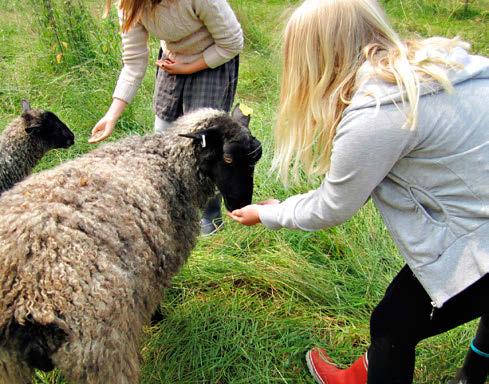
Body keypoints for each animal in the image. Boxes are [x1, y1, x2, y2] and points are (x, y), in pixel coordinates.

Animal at [0, 106, 260, 384]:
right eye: (228, 159)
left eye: (255, 158)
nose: (241, 205)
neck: (166, 163)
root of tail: (25, 298)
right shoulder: (161, 262)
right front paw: (158, 319)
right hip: (103, 350)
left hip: (9, 366)